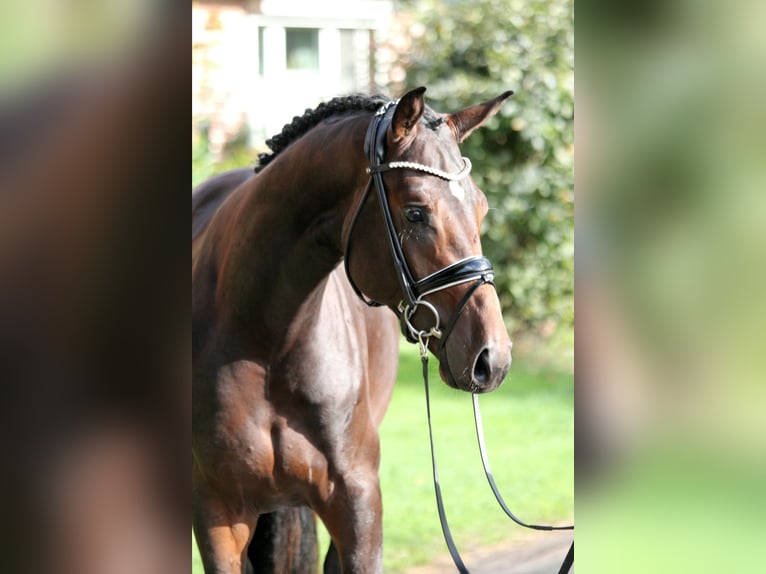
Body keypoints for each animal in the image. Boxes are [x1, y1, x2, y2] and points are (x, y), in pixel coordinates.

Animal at [194, 88, 516, 572]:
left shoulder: (357, 501)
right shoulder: (218, 513)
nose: (492, 358)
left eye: (480, 208)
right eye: (416, 213)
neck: (267, 340)